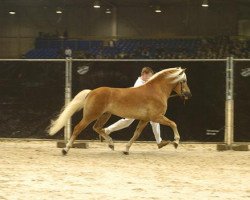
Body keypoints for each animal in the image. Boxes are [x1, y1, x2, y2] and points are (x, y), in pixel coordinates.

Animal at [47, 67, 191, 155]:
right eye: (184, 81)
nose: (188, 94)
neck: (156, 90)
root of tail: (91, 92)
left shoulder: (146, 119)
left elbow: (136, 134)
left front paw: (126, 150)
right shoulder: (156, 117)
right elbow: (173, 124)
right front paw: (176, 142)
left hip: (105, 115)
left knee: (97, 128)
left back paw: (111, 144)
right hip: (91, 115)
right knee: (78, 128)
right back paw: (65, 149)